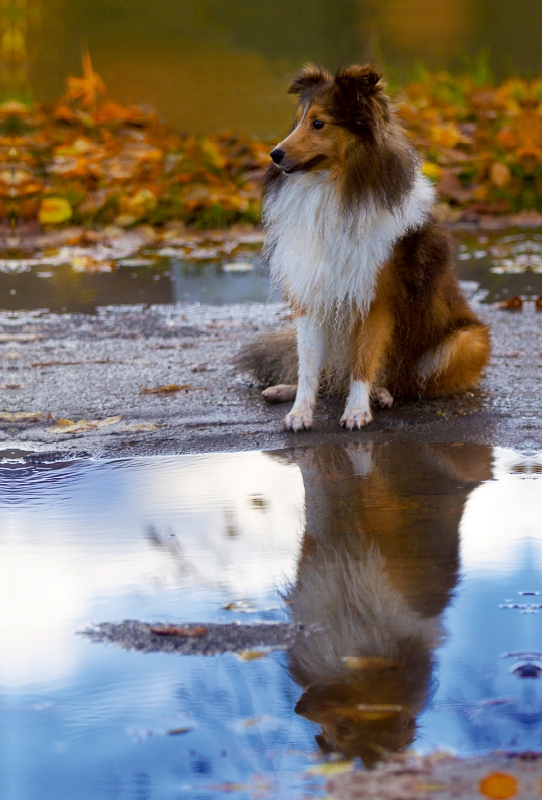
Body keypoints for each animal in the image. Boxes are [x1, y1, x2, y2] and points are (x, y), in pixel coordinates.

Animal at [238, 64, 492, 432]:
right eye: (297, 121)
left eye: (319, 123)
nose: (274, 154)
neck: (334, 192)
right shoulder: (311, 293)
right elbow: (308, 364)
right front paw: (300, 411)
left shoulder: (376, 298)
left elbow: (365, 360)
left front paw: (357, 411)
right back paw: (284, 389)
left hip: (467, 342)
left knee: (405, 383)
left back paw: (382, 394)